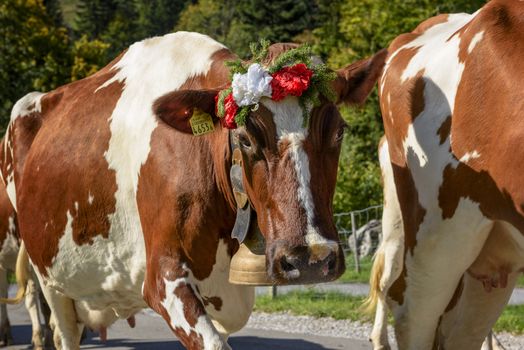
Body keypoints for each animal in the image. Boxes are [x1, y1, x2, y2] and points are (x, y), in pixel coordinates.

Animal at [0, 31, 384, 348]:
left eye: (339, 132)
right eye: (245, 138)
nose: (309, 259)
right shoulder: (163, 278)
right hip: (50, 278)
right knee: (59, 327)